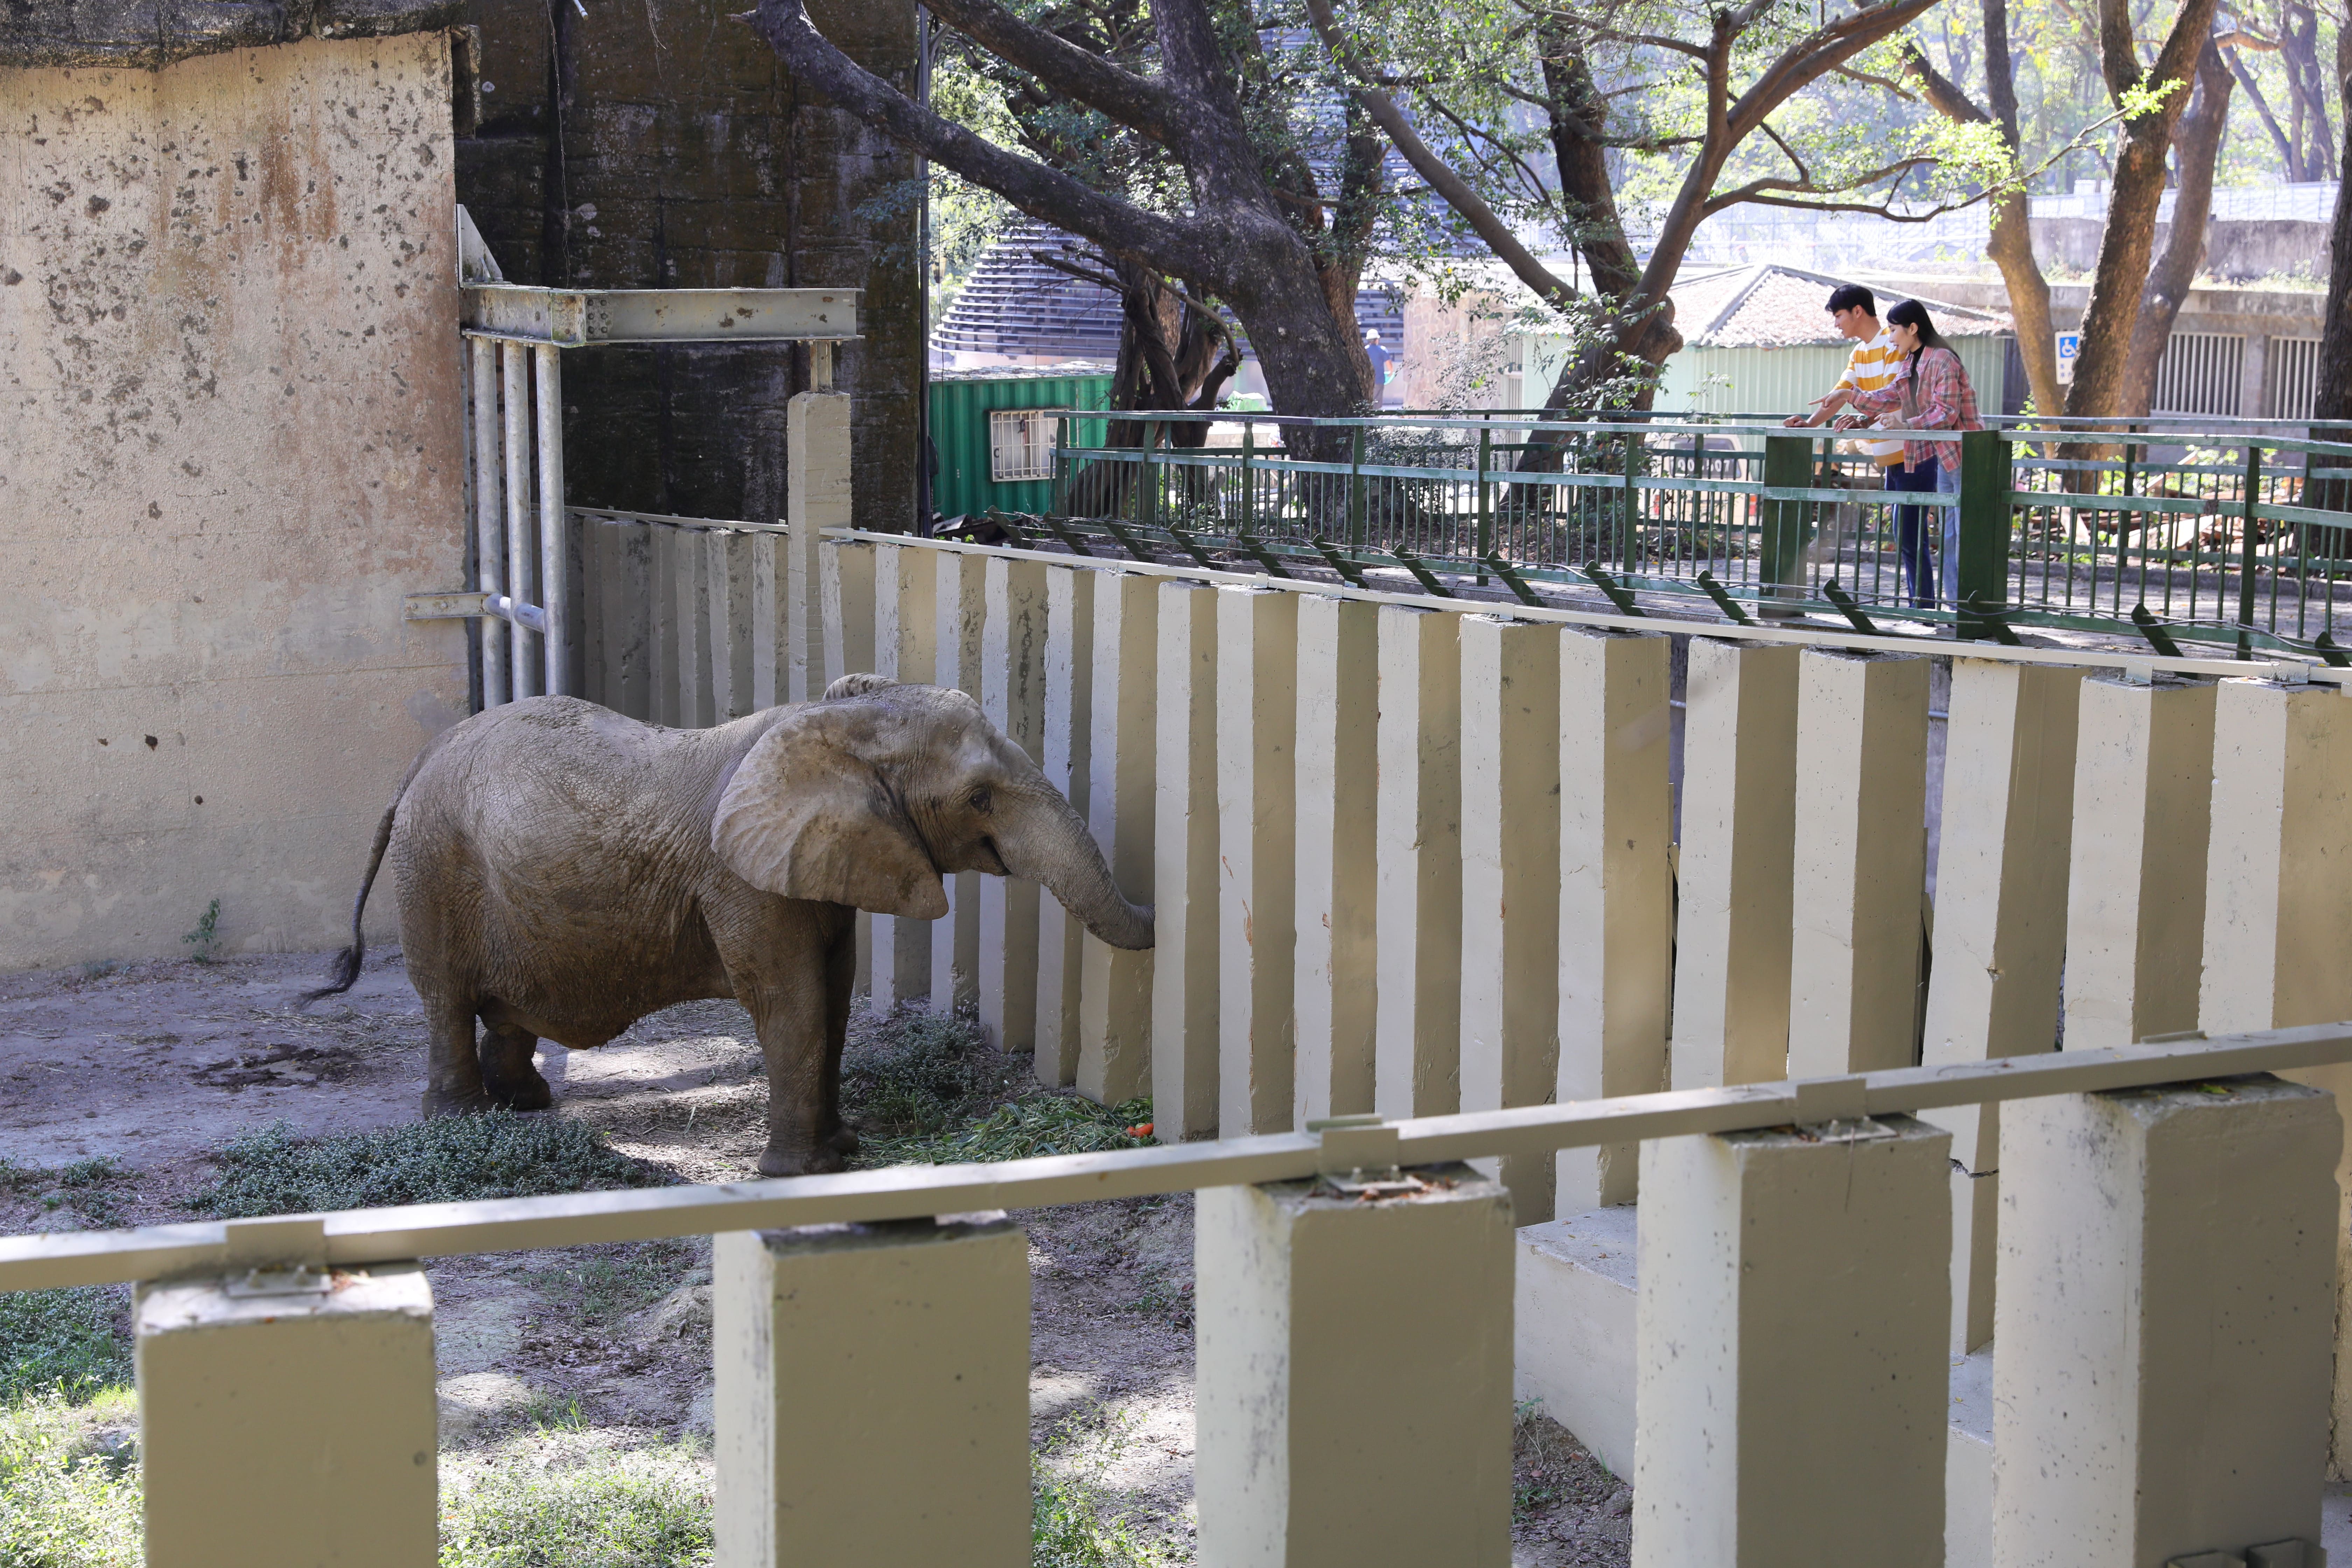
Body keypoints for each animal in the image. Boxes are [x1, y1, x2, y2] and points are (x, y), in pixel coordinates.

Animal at [306, 675, 1153, 1176]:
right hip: (433, 867)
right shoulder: (742, 880)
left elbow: (834, 999)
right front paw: (801, 1173)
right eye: (980, 798)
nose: (1156, 909)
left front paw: (843, 1150)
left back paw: (528, 1105)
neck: (830, 725)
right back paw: (464, 1117)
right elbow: (794, 1003)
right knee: (445, 995)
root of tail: (417, 765)